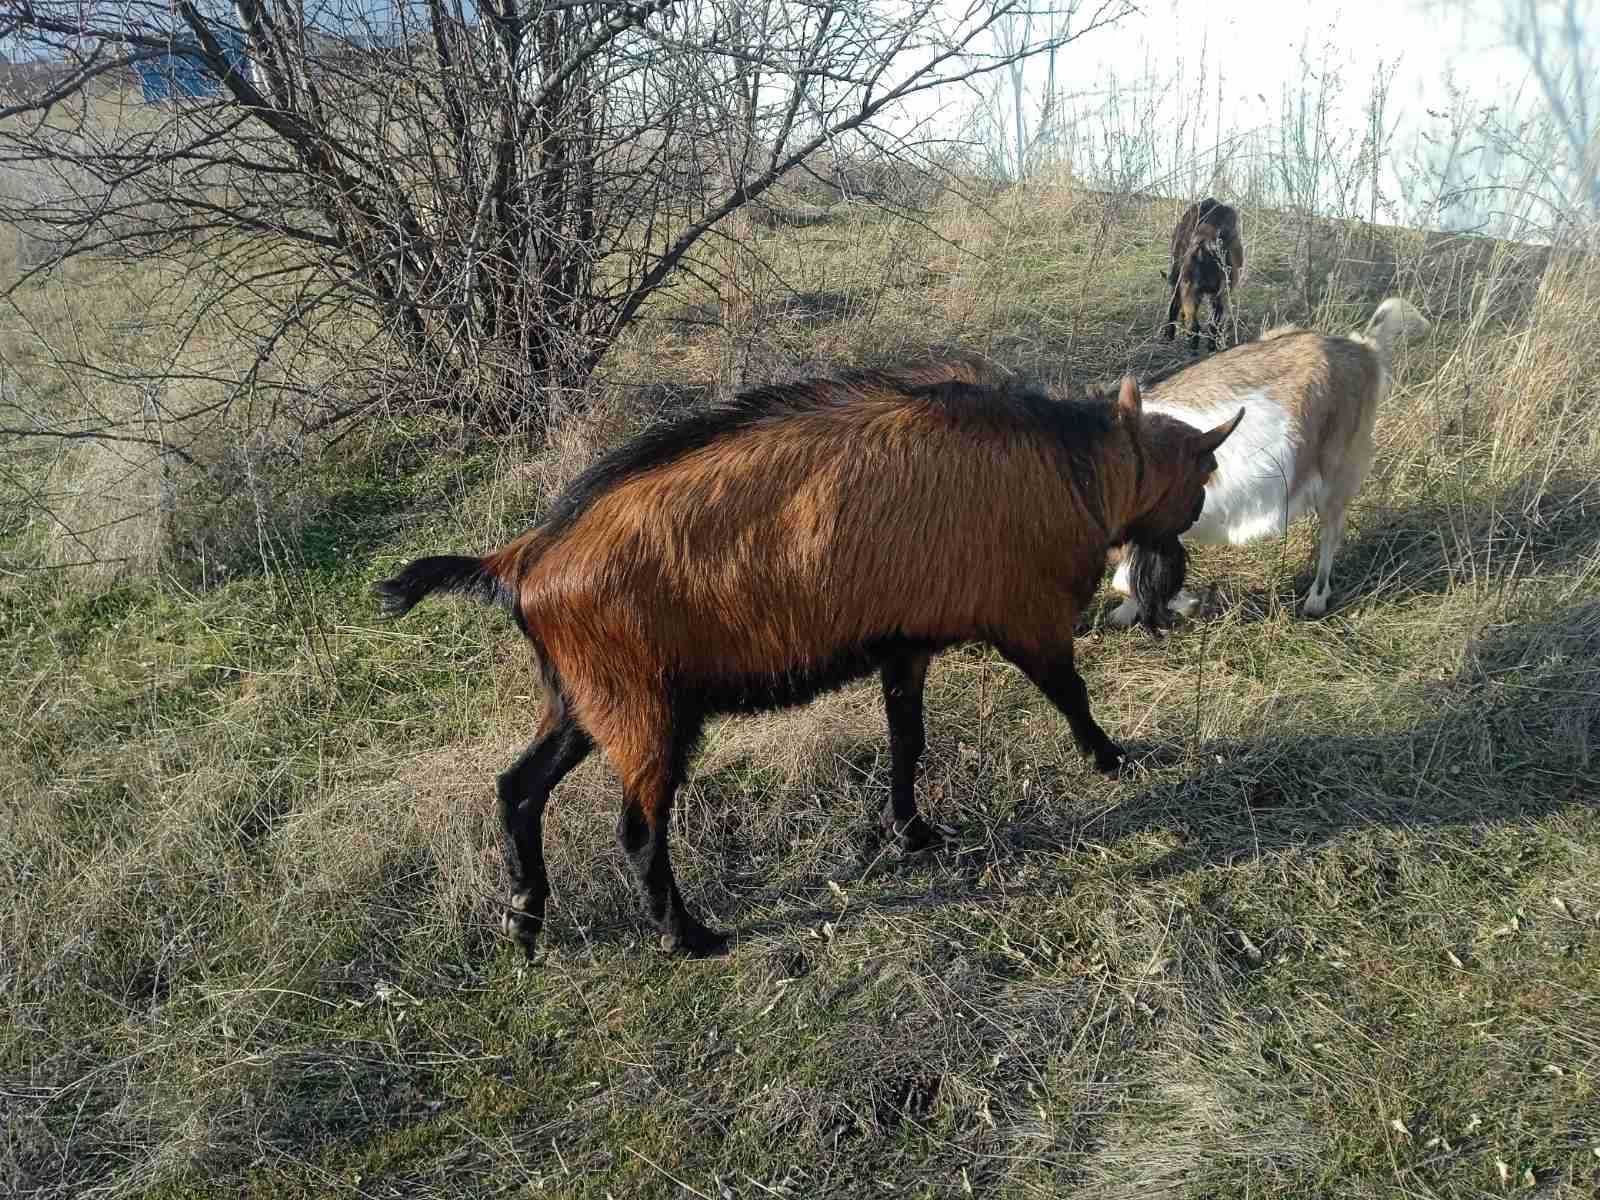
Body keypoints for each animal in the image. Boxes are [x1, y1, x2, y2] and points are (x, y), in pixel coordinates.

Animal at [371, 361, 1235, 966]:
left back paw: (524, 919)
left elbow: (906, 742)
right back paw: (686, 936)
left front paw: (912, 830)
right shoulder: (1029, 624)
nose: (1175, 572)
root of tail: (523, 559)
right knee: (637, 828)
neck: (1068, 462)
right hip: (646, 710)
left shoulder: (905, 645)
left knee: (517, 788)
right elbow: (1072, 696)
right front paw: (1113, 758)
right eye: (1204, 472)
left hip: (583, 701)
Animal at [1113, 296, 1427, 624]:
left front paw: (1186, 603)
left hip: (1338, 473)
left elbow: (1125, 580)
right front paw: (1128, 612)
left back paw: (1316, 599)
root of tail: (1362, 348)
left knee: (1331, 532)